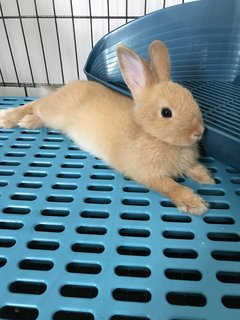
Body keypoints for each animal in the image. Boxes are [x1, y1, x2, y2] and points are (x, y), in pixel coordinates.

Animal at [0, 40, 215, 215]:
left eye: (192, 98)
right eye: (166, 112)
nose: (199, 132)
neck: (149, 132)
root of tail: (66, 87)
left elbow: (192, 167)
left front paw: (207, 177)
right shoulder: (146, 174)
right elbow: (169, 186)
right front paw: (195, 204)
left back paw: (28, 122)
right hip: (55, 112)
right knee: (35, 105)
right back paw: (9, 118)